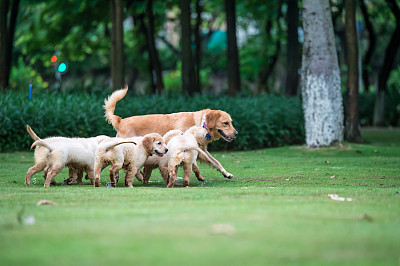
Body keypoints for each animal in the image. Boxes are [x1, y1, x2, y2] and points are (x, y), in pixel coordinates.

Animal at [104, 86, 239, 180]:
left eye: (231, 122)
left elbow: (215, 162)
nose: (236, 133)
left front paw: (226, 173)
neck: (201, 123)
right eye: (226, 123)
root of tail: (120, 120)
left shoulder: (202, 149)